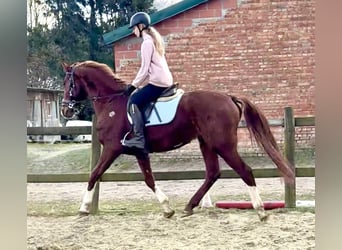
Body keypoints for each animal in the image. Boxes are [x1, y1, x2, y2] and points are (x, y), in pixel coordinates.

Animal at [59, 60, 294, 221]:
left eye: (67, 82)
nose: (65, 110)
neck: (112, 103)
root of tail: (229, 97)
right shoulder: (140, 152)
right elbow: (149, 180)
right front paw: (167, 208)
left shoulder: (111, 148)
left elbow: (94, 175)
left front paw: (83, 208)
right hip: (206, 143)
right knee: (213, 173)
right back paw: (189, 206)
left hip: (223, 144)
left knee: (245, 171)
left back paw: (260, 211)